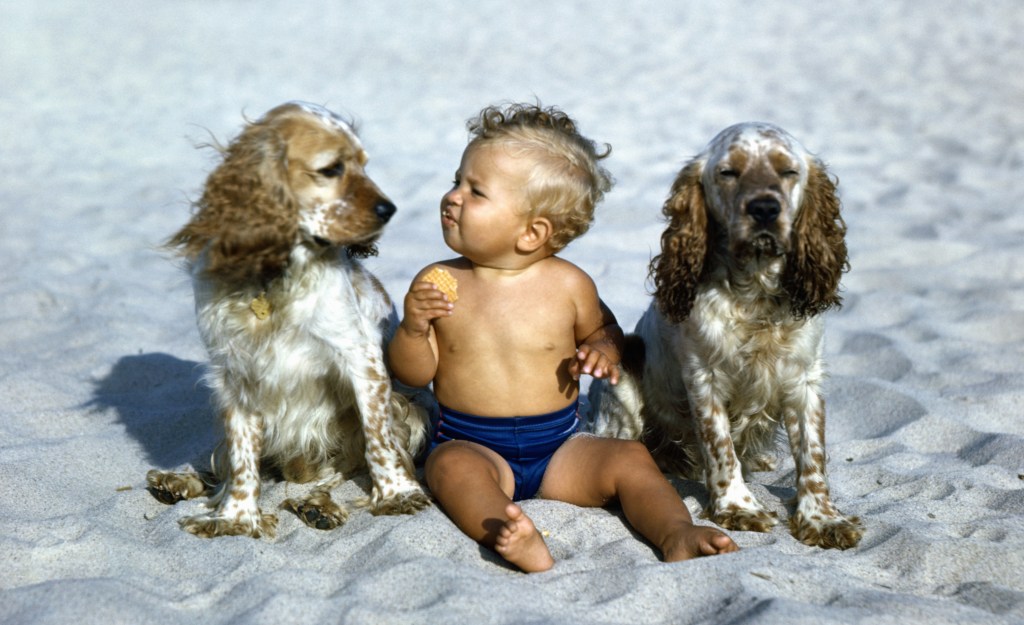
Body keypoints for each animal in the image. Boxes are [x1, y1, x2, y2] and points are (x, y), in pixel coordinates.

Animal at [146, 100, 430, 536]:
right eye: (331, 169)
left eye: (364, 165)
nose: (389, 209)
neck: (273, 276)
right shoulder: (234, 373)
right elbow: (241, 461)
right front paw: (234, 517)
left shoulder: (360, 359)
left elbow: (377, 440)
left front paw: (397, 494)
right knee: (224, 467)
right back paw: (176, 482)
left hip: (407, 409)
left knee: (341, 469)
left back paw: (319, 505)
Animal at [593, 123, 864, 549]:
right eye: (728, 173)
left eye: (788, 171)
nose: (765, 208)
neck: (754, 291)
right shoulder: (704, 377)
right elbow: (720, 447)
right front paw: (738, 507)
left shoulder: (804, 378)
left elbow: (813, 455)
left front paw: (822, 519)